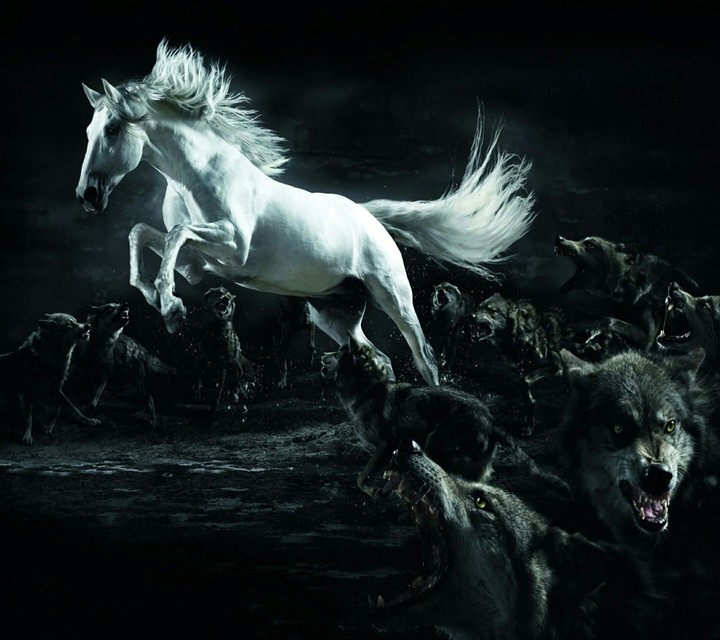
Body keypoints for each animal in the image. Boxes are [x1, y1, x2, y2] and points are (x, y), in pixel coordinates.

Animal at [75, 40, 536, 386]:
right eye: (88, 130)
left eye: (112, 129)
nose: (87, 195)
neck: (197, 175)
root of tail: (370, 218)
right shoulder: (199, 264)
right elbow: (142, 233)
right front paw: (161, 301)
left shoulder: (233, 248)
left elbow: (175, 234)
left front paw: (170, 307)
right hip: (336, 313)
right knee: (381, 359)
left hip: (393, 296)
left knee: (424, 357)